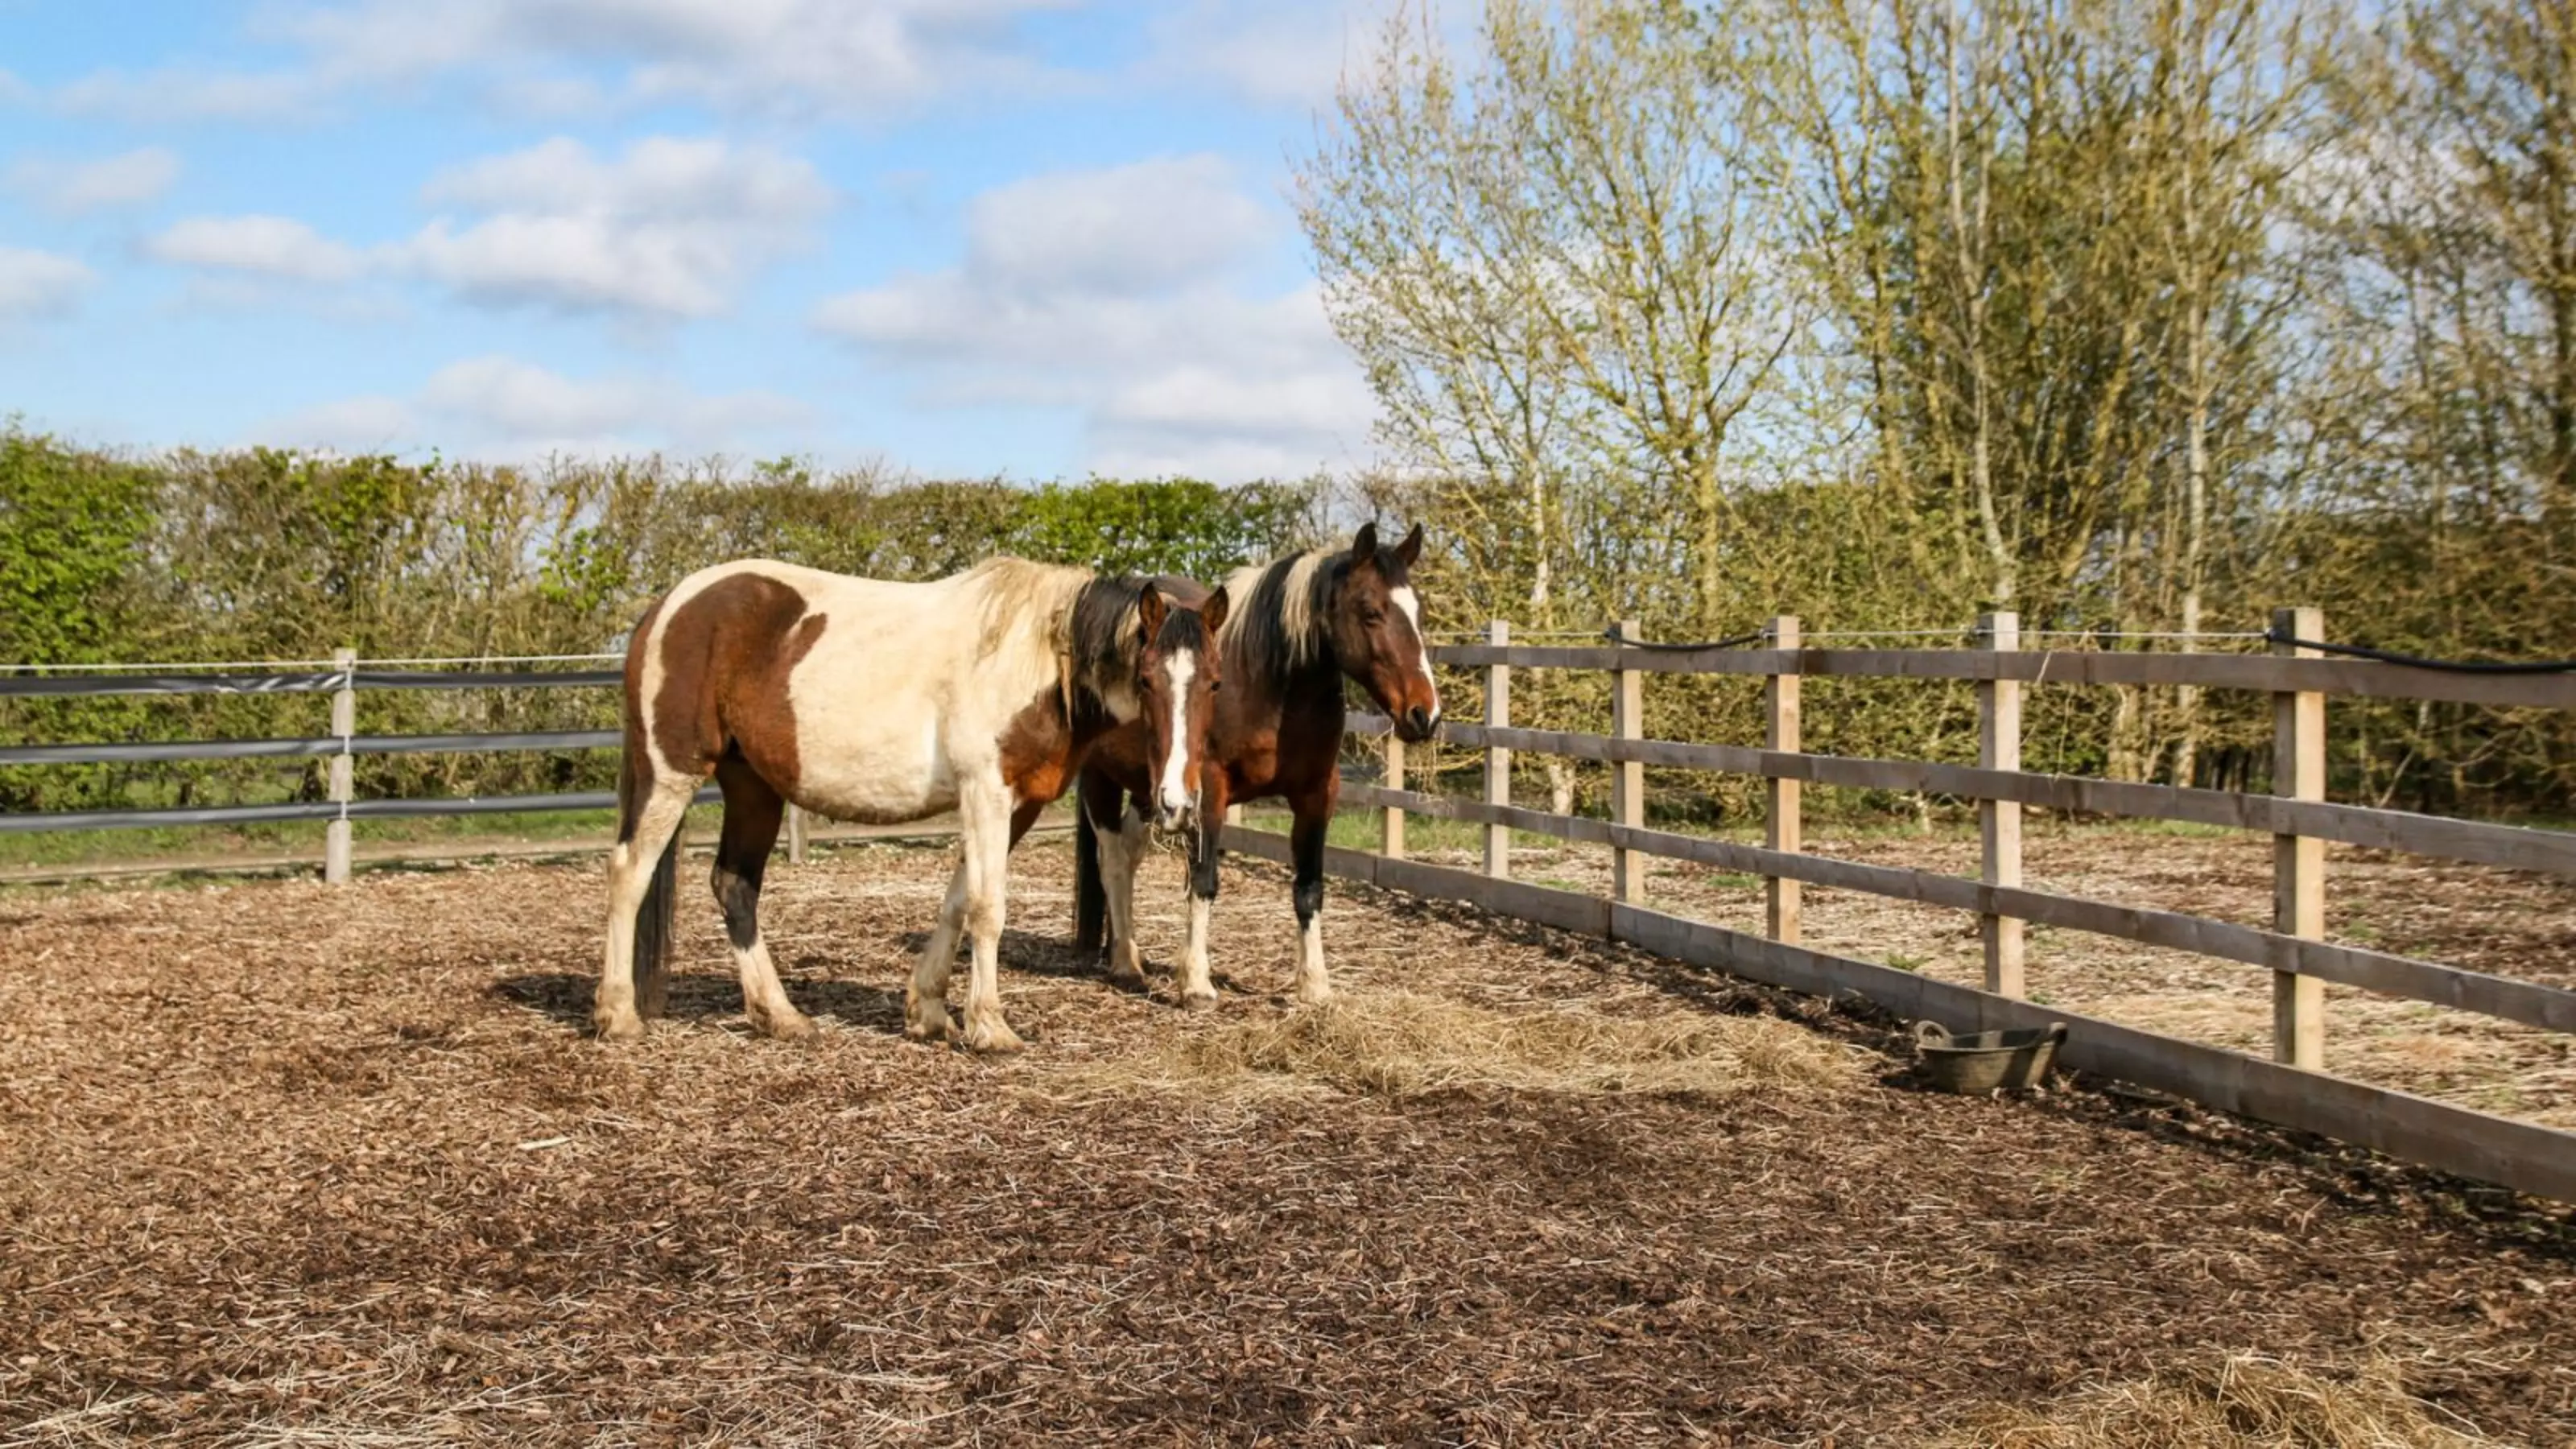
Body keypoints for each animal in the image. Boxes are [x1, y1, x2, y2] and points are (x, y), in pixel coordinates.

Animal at [597, 554, 1220, 1046]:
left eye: (1214, 683)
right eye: (1146, 680)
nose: (1177, 802)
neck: (1038, 660)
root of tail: (667, 606)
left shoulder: (1019, 804)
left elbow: (957, 901)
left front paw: (929, 1010)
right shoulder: (986, 791)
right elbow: (987, 908)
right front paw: (989, 1026)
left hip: (753, 787)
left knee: (735, 885)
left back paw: (780, 1016)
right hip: (672, 771)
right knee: (629, 873)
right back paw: (618, 1014)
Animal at [1061, 518, 1432, 1005]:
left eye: (1418, 614)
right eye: (1371, 612)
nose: (1424, 714)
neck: (1266, 687)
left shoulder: (1317, 795)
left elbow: (1309, 887)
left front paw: (1315, 985)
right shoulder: (1208, 793)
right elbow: (1203, 880)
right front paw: (1196, 982)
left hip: (1150, 790)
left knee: (1130, 849)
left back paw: (1125, 949)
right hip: (1103, 780)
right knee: (1114, 861)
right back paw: (1124, 963)